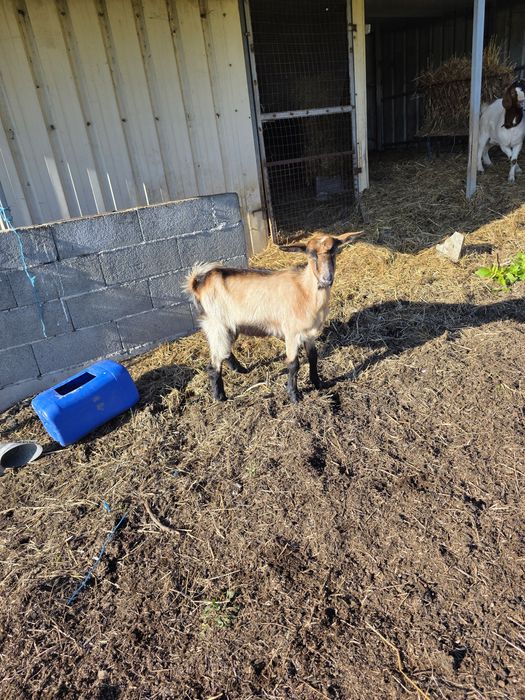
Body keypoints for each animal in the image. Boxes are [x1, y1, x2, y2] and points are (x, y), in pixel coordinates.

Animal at [185, 231, 364, 403]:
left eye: (334, 251)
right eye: (311, 254)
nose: (326, 279)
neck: (305, 291)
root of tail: (199, 284)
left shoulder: (309, 333)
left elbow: (313, 357)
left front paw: (318, 383)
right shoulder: (292, 332)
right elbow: (293, 364)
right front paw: (294, 396)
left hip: (229, 327)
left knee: (225, 352)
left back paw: (241, 370)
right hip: (216, 324)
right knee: (213, 363)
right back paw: (220, 397)